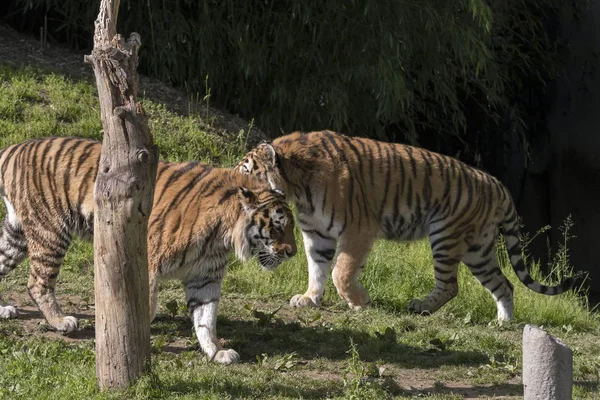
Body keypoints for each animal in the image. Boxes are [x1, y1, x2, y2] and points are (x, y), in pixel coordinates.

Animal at [0, 136, 296, 364]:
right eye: (278, 227)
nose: (293, 253)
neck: (222, 236)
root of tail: (15, 147)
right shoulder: (149, 262)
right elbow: (147, 308)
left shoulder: (206, 276)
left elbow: (206, 318)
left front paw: (216, 352)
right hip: (50, 231)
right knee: (37, 283)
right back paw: (61, 321)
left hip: (17, 235)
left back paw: (5, 310)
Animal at [237, 130, 576, 324]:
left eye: (247, 170)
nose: (236, 189)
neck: (298, 187)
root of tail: (498, 185)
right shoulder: (317, 233)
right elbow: (318, 269)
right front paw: (309, 298)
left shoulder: (359, 229)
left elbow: (340, 272)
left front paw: (360, 303)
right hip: (478, 250)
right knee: (503, 284)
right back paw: (503, 323)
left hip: (446, 237)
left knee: (451, 285)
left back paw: (420, 307)